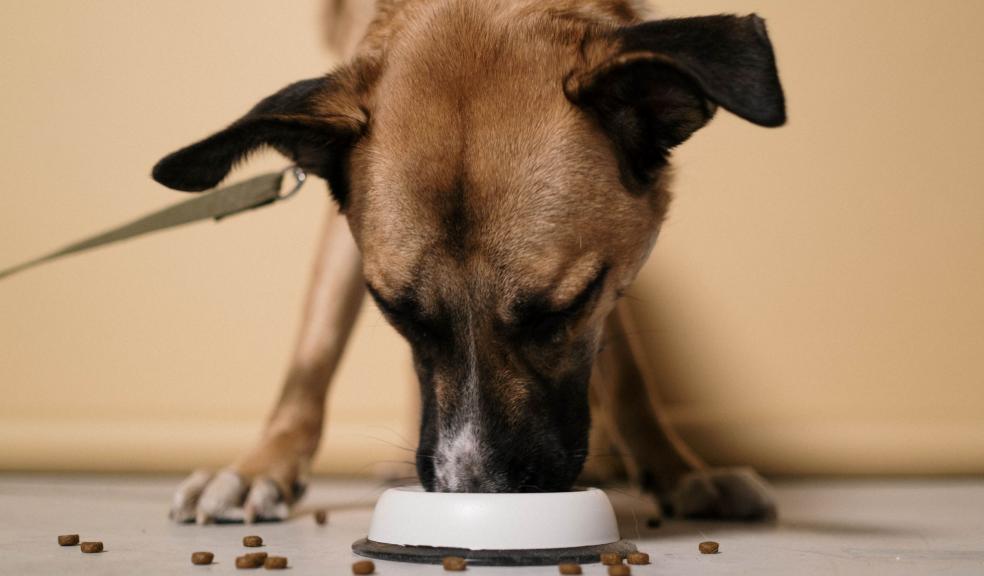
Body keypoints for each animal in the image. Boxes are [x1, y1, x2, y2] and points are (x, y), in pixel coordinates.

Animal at [154, 0, 784, 524]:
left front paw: (678, 469)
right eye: (397, 313)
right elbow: (313, 353)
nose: (475, 493)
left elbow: (628, 372)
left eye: (562, 312)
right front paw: (262, 466)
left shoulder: (612, 268)